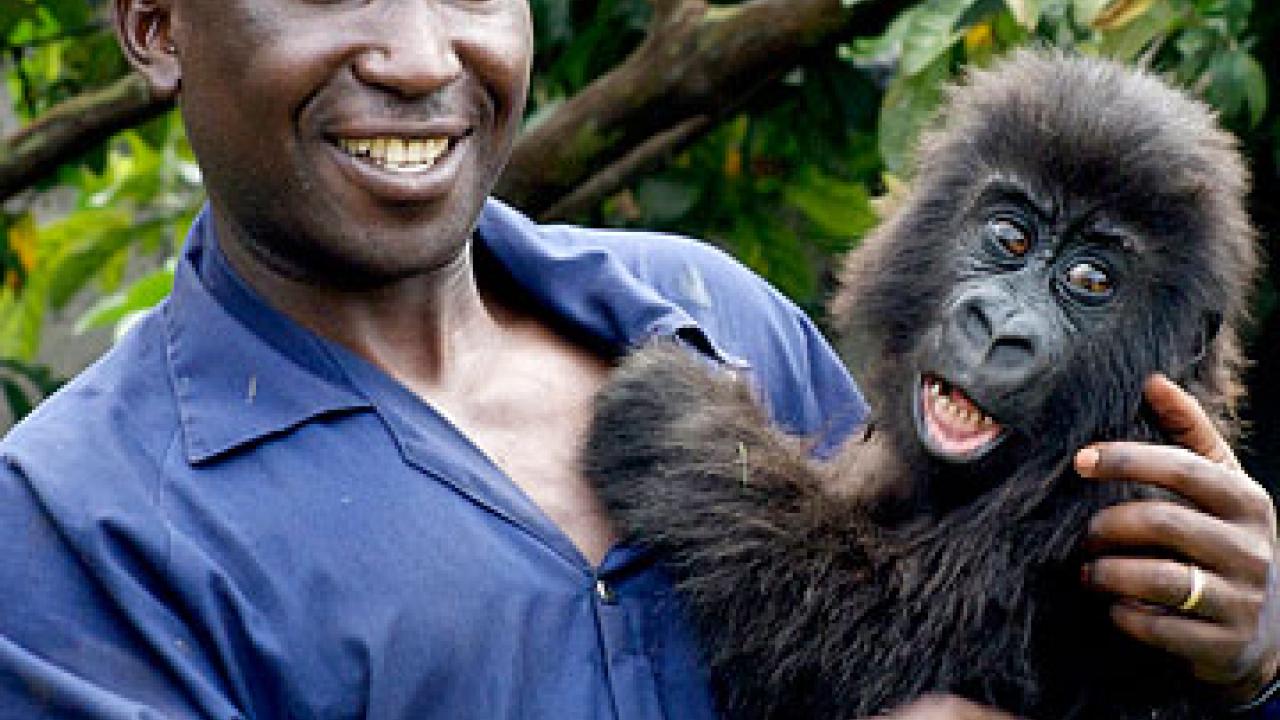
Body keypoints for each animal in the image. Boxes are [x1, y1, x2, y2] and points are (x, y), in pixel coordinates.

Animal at [582, 50, 1259, 720]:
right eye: (1011, 238)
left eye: (1091, 280)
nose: (999, 329)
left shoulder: (1128, 494)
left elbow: (865, 641)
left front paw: (685, 425)